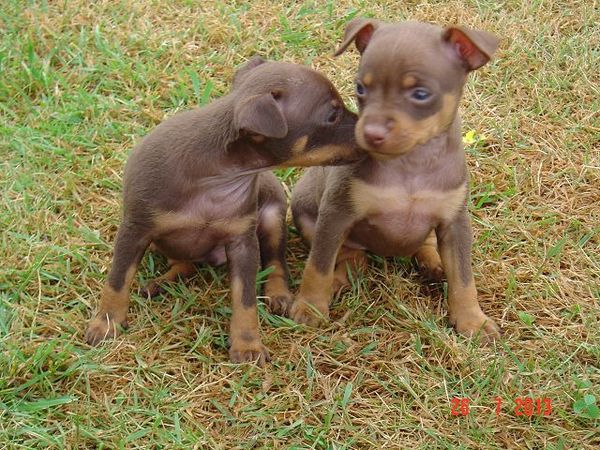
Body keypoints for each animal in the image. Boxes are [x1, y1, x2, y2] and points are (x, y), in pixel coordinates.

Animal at [86, 57, 364, 366]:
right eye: (332, 115)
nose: (371, 130)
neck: (216, 177)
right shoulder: (135, 230)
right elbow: (117, 281)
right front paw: (106, 323)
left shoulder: (242, 243)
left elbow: (245, 299)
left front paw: (247, 344)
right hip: (160, 242)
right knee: (185, 263)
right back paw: (162, 282)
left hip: (272, 218)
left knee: (275, 262)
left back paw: (278, 293)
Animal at [290, 18, 502, 342]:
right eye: (360, 88)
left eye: (421, 94)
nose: (371, 133)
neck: (411, 163)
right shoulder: (336, 213)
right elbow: (318, 265)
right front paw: (310, 306)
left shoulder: (455, 223)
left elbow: (464, 278)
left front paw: (471, 321)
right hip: (308, 216)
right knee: (351, 255)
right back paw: (343, 276)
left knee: (424, 244)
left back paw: (434, 262)